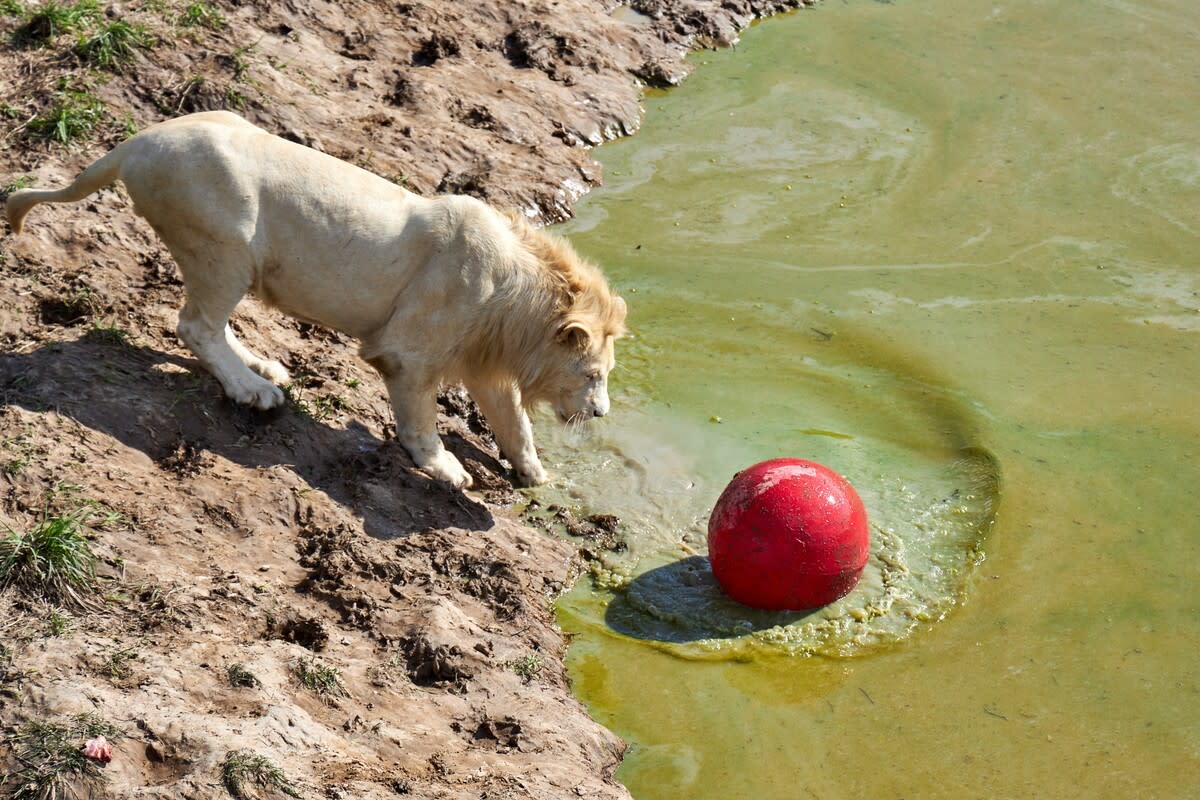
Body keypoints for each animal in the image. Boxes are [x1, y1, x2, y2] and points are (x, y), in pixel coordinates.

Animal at [6, 111, 626, 489]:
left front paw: (534, 473)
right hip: (224, 244)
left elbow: (514, 421)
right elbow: (421, 418)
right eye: (594, 374)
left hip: (225, 253)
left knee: (211, 324)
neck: (518, 302)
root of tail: (134, 144)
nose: (601, 414)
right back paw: (254, 391)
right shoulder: (409, 351)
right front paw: (446, 469)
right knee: (195, 325)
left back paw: (263, 367)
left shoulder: (481, 360)